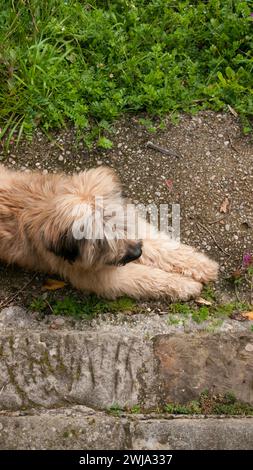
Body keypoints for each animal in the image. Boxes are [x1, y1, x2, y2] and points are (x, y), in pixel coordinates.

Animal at [0, 163, 217, 300]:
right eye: (99, 242)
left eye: (122, 224)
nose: (137, 253)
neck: (42, 201)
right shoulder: (98, 275)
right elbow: (143, 277)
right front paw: (184, 285)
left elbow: (163, 247)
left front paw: (202, 265)